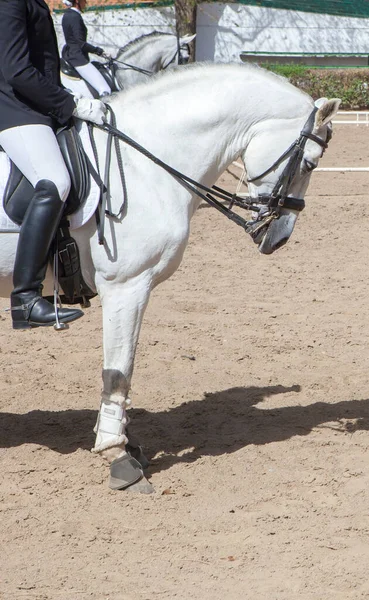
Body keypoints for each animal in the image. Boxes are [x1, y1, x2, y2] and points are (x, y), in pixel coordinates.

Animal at [0, 62, 340, 492]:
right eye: (310, 163)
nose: (278, 238)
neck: (145, 160)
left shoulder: (134, 290)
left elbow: (125, 367)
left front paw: (126, 442)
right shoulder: (126, 287)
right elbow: (118, 372)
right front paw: (117, 456)